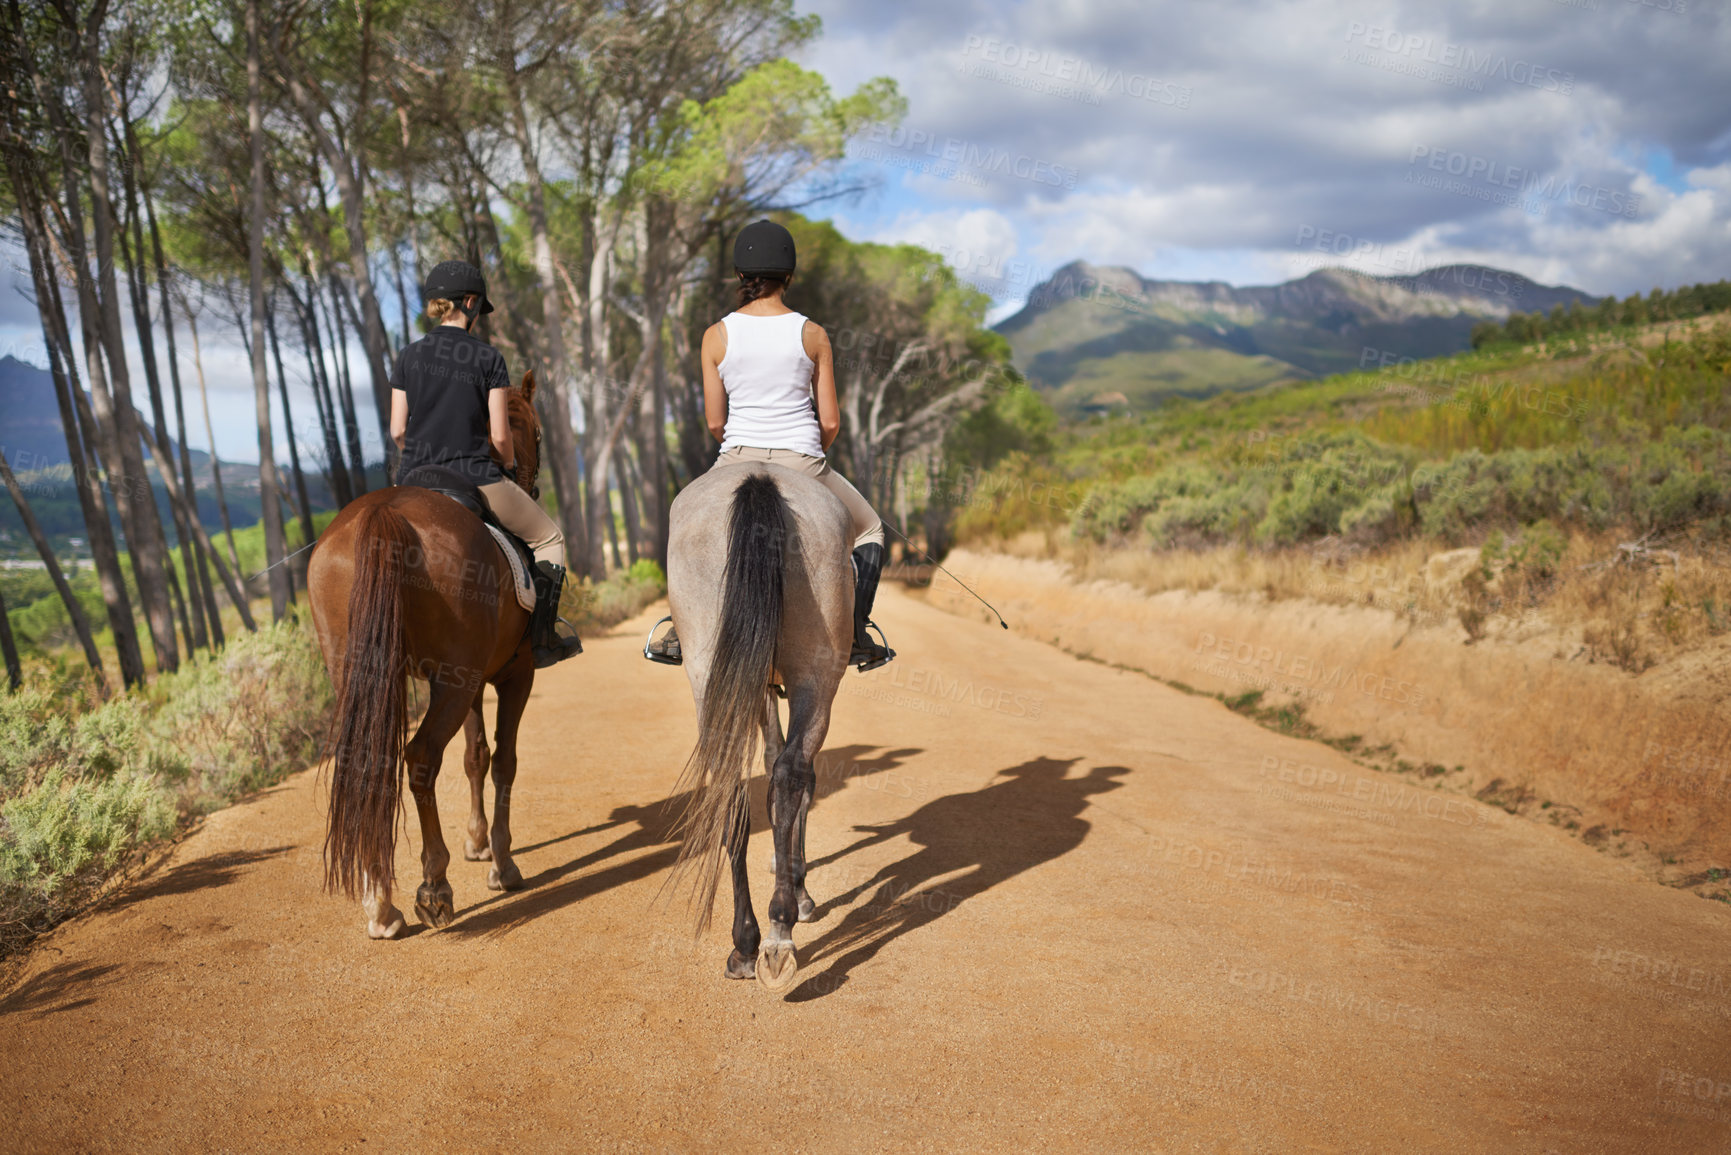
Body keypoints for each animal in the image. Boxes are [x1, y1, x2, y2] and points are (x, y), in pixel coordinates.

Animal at [308, 370, 543, 942]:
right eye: (536, 433)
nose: (531, 483)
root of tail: (384, 513)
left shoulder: (474, 678)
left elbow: (476, 756)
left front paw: (477, 843)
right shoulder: (513, 673)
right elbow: (504, 759)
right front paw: (501, 863)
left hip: (372, 676)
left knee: (374, 763)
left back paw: (380, 906)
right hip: (454, 683)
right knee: (420, 759)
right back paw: (434, 889)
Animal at [661, 460, 851, 997]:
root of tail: (760, 477)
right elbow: (793, 774)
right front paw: (800, 890)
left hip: (713, 672)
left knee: (734, 785)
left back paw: (748, 942)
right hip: (815, 675)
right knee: (791, 774)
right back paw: (778, 929)